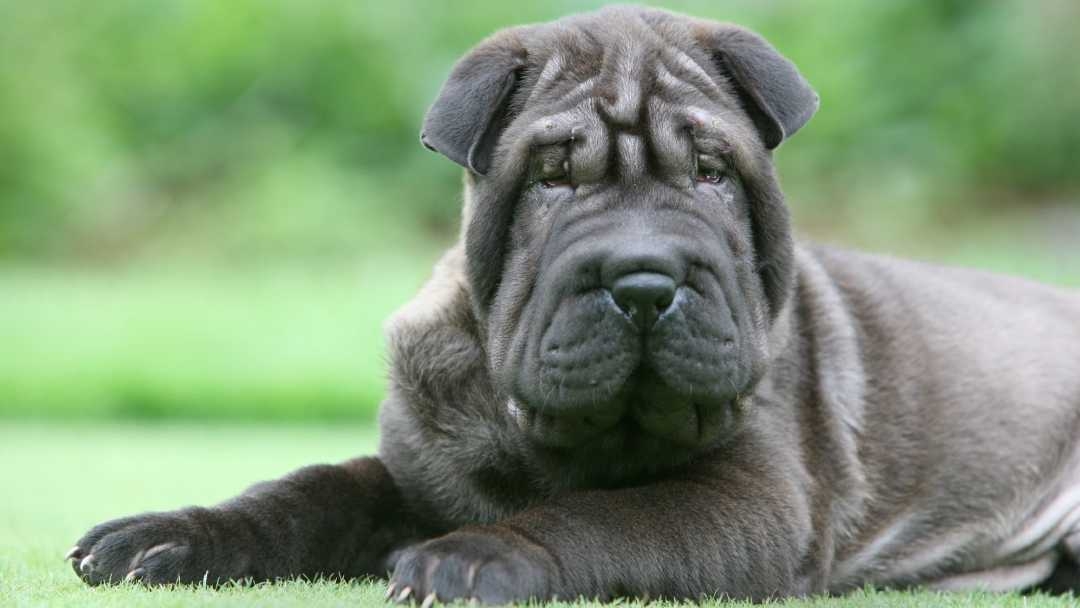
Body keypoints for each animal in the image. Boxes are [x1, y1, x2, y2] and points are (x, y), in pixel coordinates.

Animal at [69, 3, 1080, 604]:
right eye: (553, 179)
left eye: (711, 174)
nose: (643, 278)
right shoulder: (414, 469)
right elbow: (307, 490)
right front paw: (170, 534)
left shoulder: (750, 498)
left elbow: (610, 519)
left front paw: (476, 556)